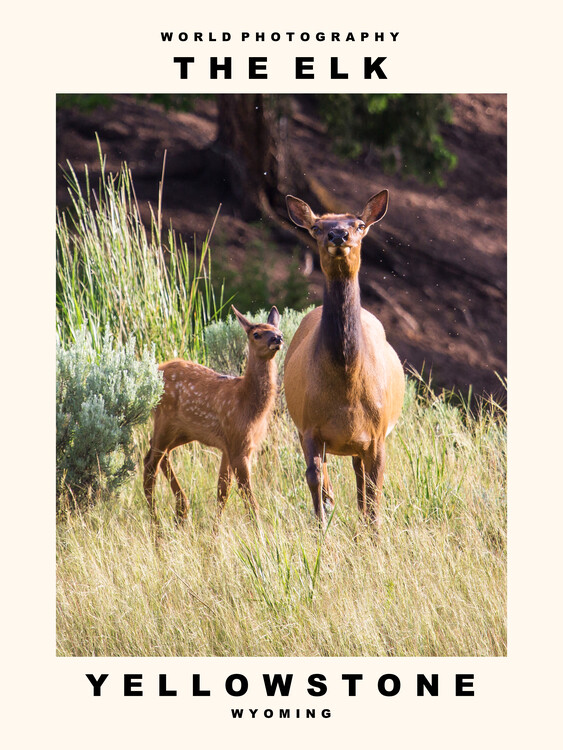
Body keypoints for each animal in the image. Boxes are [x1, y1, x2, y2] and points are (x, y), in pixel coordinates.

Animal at [143, 306, 283, 528]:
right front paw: (259, 534)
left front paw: (215, 531)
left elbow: (223, 491)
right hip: (165, 420)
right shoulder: (238, 445)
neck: (247, 404)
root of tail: (155, 372)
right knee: (150, 466)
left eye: (277, 329)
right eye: (256, 334)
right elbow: (248, 499)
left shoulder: (232, 446)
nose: (278, 338)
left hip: (184, 431)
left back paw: (181, 510)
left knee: (154, 454)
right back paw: (157, 526)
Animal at [283, 190, 404, 534]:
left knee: (361, 482)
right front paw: (321, 531)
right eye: (316, 227)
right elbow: (314, 479)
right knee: (330, 478)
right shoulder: (309, 426)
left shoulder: (377, 435)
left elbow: (374, 490)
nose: (338, 235)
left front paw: (374, 536)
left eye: (360, 225)